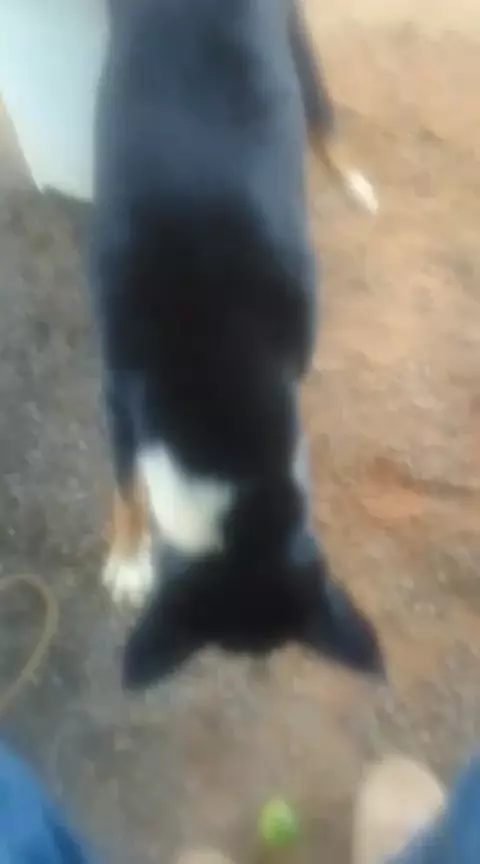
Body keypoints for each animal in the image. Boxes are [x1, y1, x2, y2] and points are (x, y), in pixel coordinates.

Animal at [90, 0, 382, 689]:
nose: (257, 668)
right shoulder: (116, 388)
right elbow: (125, 480)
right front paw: (129, 558)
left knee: (323, 119)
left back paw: (353, 182)